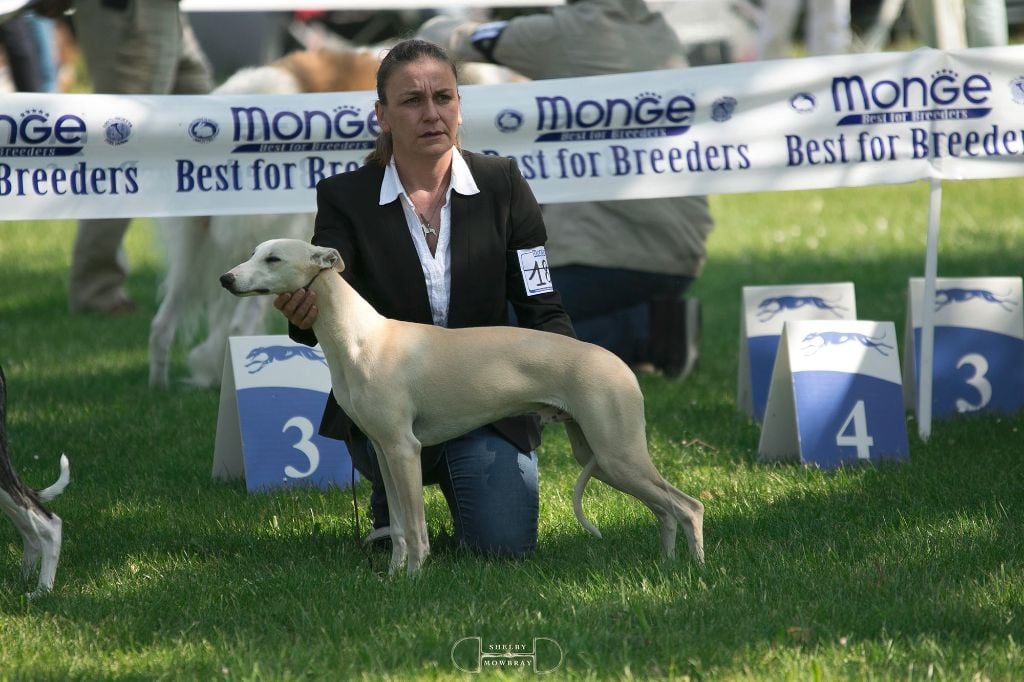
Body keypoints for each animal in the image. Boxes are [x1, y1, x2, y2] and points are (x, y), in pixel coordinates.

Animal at [222, 238, 704, 573]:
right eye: (253, 253)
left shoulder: (404, 448)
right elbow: (399, 526)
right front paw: (392, 576)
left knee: (688, 506)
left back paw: (695, 571)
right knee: (665, 510)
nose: (227, 279)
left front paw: (414, 578)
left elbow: (416, 528)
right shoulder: (383, 449)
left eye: (273, 259)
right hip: (600, 456)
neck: (360, 337)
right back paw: (668, 565)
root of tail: (620, 365)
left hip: (617, 453)